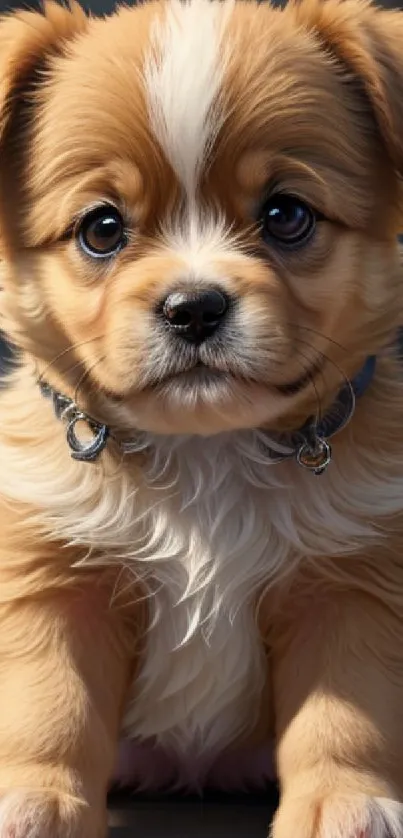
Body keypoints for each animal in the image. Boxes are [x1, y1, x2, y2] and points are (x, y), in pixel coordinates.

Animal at [0, 0, 403, 836]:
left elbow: (345, 718)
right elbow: (50, 709)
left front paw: (345, 804)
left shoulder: (348, 591)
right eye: (101, 229)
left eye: (285, 215)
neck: (206, 454)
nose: (193, 307)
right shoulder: (57, 583)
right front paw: (38, 799)